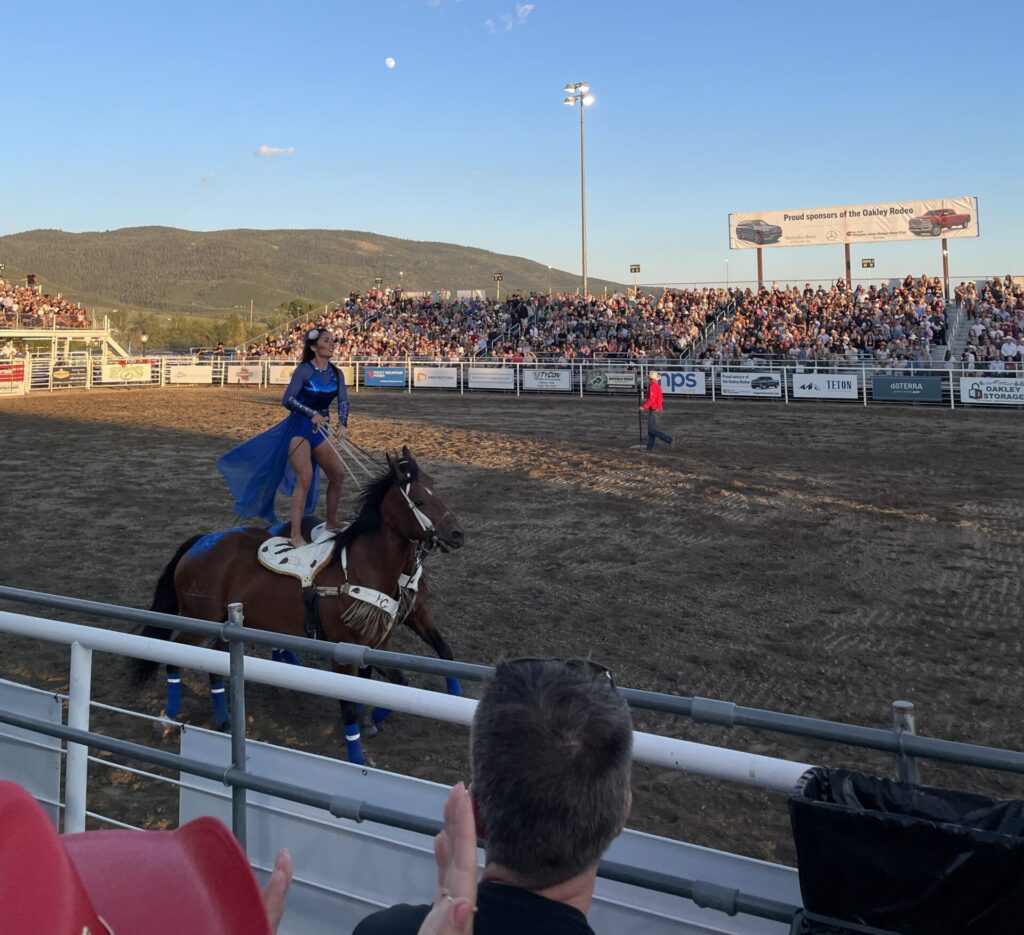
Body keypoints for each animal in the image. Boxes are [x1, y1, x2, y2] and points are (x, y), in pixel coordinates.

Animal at [131, 442, 464, 757]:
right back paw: (168, 719)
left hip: (230, 623)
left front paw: (377, 719)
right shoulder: (345, 650)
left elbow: (402, 679)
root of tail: (201, 542)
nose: (457, 534)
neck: (360, 567)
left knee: (215, 661)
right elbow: (351, 705)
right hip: (198, 618)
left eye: (435, 487)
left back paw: (224, 719)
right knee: (174, 656)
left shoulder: (381, 638)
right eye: (419, 501)